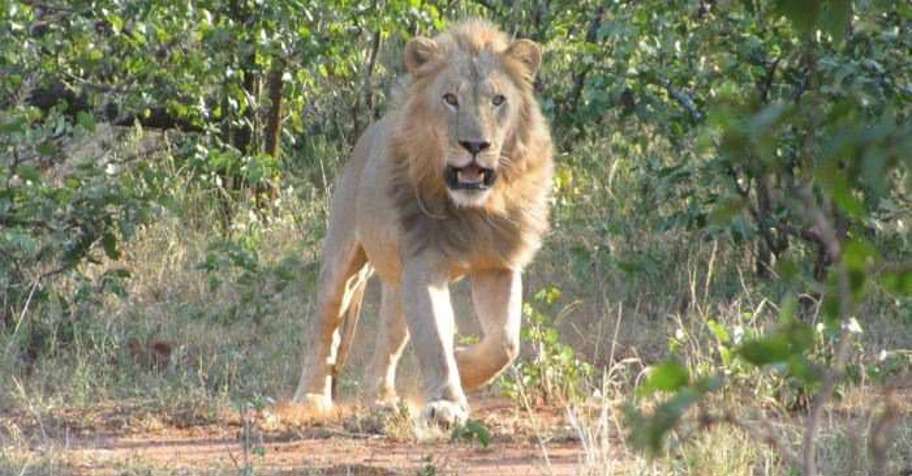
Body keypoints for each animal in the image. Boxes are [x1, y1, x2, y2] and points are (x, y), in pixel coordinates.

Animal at [293, 19, 554, 427]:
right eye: (450, 99)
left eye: (498, 100)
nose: (475, 144)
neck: (472, 210)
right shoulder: (424, 265)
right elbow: (434, 339)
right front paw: (445, 403)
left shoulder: (497, 264)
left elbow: (505, 343)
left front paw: (464, 366)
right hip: (342, 261)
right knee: (324, 328)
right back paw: (311, 398)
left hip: (396, 285)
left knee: (389, 339)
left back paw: (381, 399)